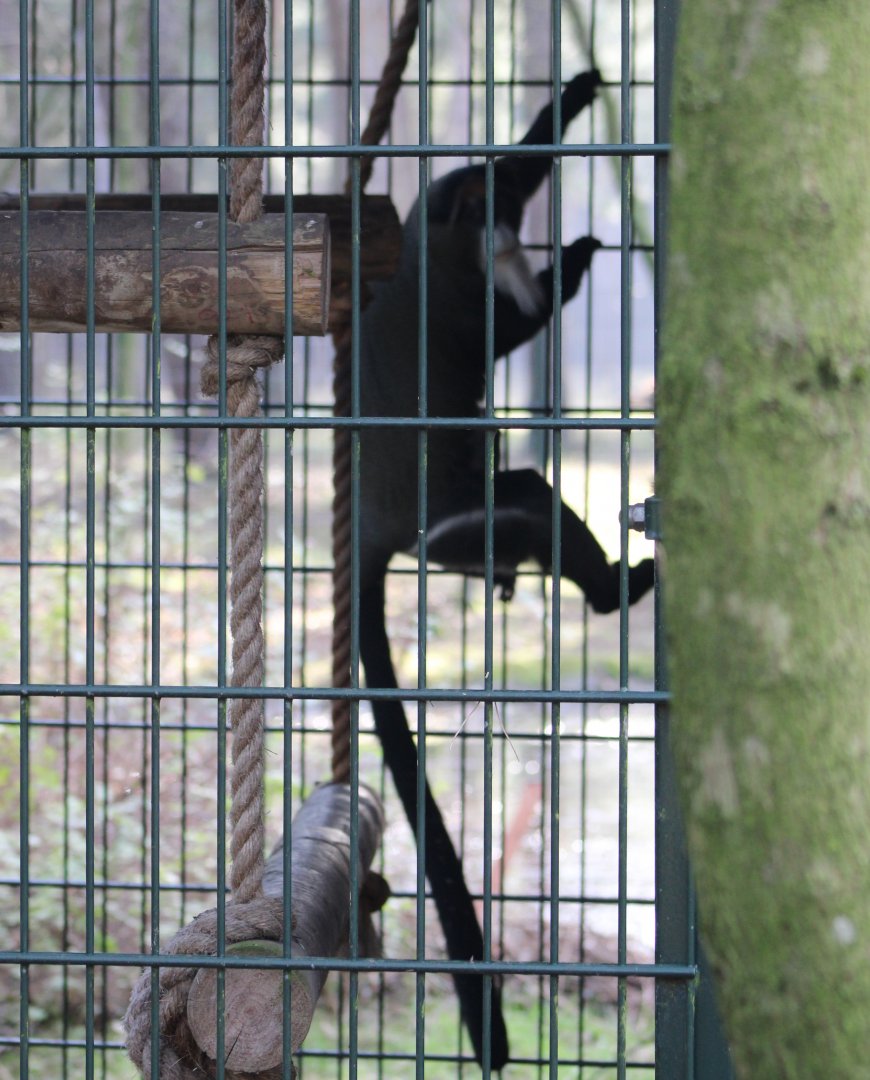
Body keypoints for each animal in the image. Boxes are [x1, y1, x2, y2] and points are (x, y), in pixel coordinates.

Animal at [353, 70, 654, 1070]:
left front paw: (574, 101)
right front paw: (580, 250)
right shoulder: (465, 277)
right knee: (527, 505)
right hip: (459, 532)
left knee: (524, 497)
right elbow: (515, 327)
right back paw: (612, 587)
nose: (507, 225)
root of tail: (376, 528)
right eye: (487, 213)